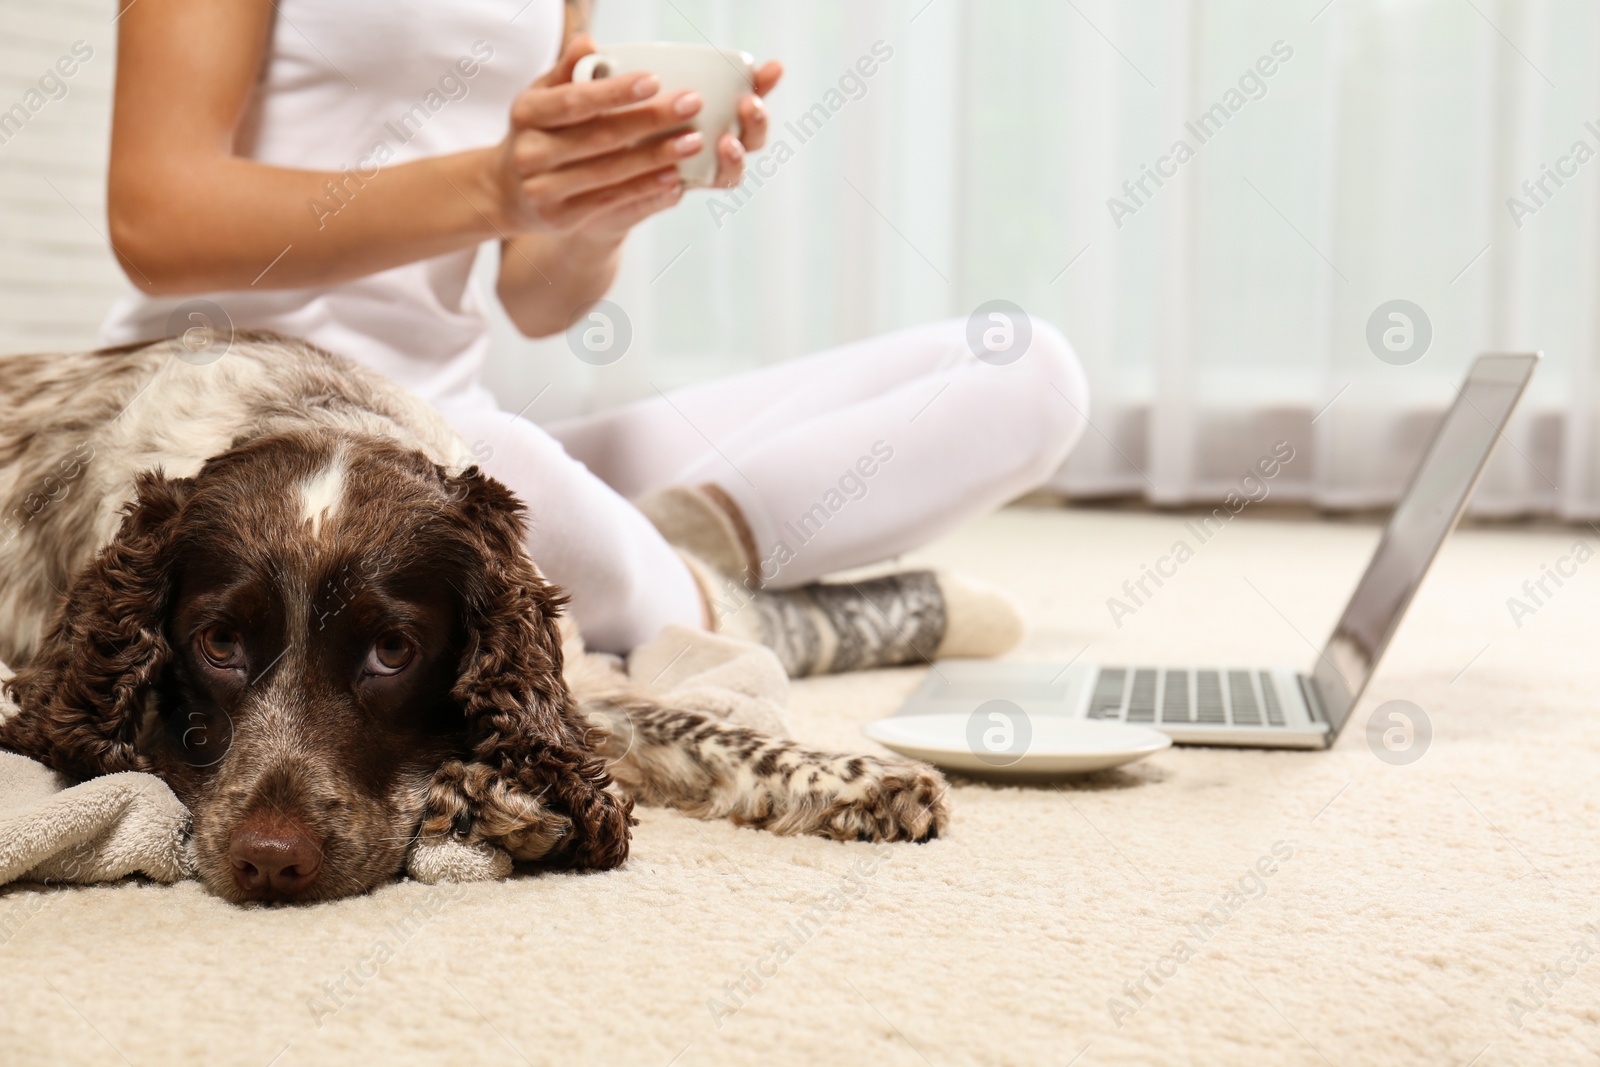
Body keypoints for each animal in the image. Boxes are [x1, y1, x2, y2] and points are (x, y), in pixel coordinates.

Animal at [0, 331, 947, 902]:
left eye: (392, 649)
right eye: (220, 642)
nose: (271, 860)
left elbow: (688, 729)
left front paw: (859, 777)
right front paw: (495, 801)